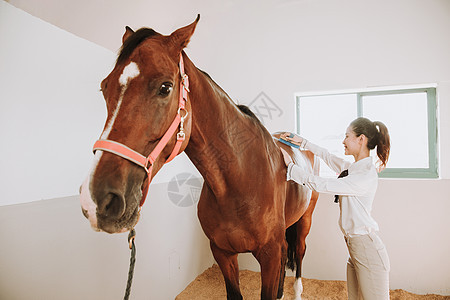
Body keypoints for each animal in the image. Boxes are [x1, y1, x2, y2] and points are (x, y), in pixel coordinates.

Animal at [80, 16, 320, 300]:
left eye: (165, 87)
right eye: (104, 87)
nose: (98, 198)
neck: (239, 182)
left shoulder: (269, 255)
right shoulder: (222, 252)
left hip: (305, 220)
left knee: (300, 252)